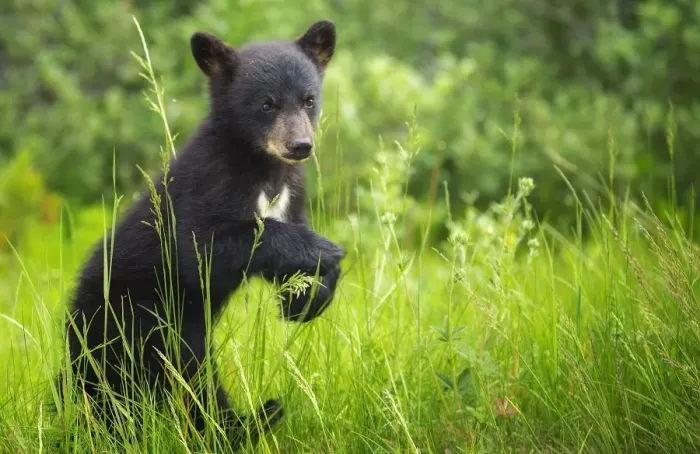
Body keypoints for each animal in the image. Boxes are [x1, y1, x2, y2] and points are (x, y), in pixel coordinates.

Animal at [61, 19, 344, 449]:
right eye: (267, 103)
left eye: (309, 100)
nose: (300, 145)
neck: (263, 167)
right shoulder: (207, 184)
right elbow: (200, 250)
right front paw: (324, 250)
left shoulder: (293, 191)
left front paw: (307, 297)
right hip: (131, 321)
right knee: (137, 383)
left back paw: (247, 423)